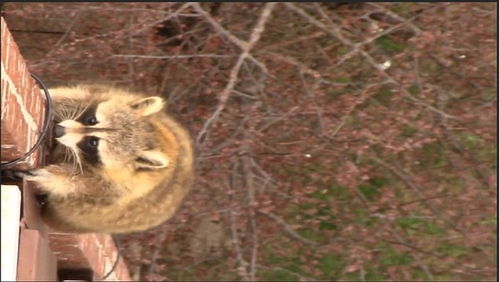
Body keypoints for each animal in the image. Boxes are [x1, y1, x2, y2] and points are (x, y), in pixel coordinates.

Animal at [24, 84, 194, 234]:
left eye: (93, 143)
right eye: (92, 120)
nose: (58, 130)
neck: (157, 138)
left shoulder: (120, 189)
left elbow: (82, 184)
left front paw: (54, 176)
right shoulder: (112, 94)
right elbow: (76, 98)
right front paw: (49, 95)